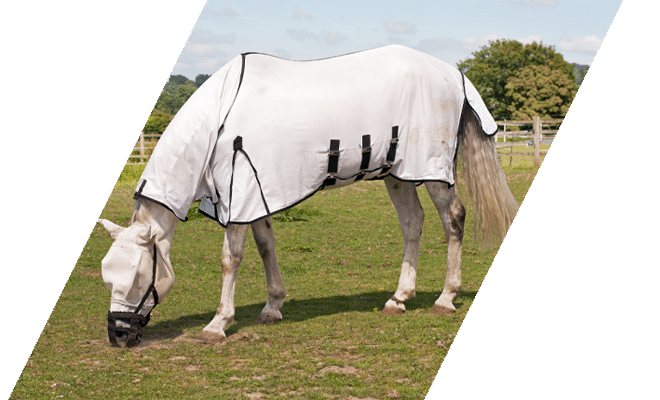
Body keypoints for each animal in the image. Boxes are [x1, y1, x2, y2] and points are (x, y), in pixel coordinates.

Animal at [97, 45, 519, 347]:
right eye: (106, 276)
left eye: (137, 277)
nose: (118, 335)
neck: (218, 121)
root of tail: (453, 74)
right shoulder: (257, 194)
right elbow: (266, 246)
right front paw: (272, 306)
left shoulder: (239, 197)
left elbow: (231, 260)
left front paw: (218, 323)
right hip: (397, 173)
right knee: (412, 224)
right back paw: (399, 298)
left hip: (433, 172)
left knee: (454, 220)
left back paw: (445, 299)